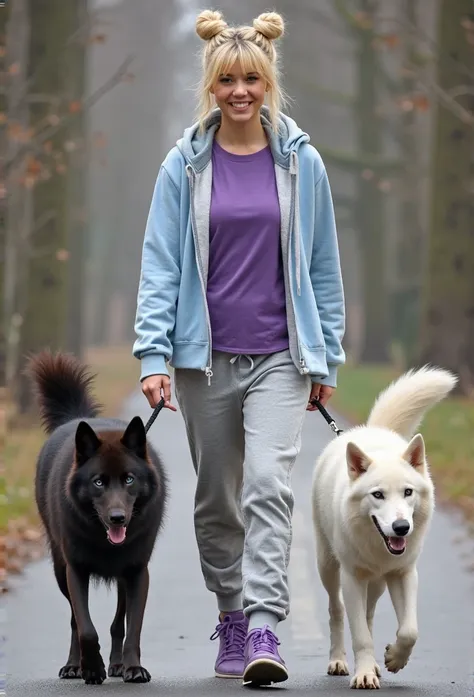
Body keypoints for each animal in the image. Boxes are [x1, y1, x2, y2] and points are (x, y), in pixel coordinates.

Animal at [27, 350, 168, 684]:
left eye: (129, 479)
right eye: (99, 482)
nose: (117, 518)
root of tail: (77, 418)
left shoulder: (137, 572)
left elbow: (133, 627)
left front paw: (133, 668)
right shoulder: (75, 570)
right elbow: (85, 627)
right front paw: (91, 668)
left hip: (122, 578)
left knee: (119, 622)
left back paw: (117, 664)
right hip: (59, 568)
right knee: (74, 622)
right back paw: (74, 665)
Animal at [312, 368, 456, 688]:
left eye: (408, 492)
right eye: (377, 495)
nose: (401, 527)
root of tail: (369, 430)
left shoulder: (404, 574)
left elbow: (409, 631)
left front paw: (393, 660)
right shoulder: (352, 577)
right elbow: (360, 637)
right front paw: (364, 675)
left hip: (378, 583)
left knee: (368, 614)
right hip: (328, 567)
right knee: (336, 610)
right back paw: (338, 661)